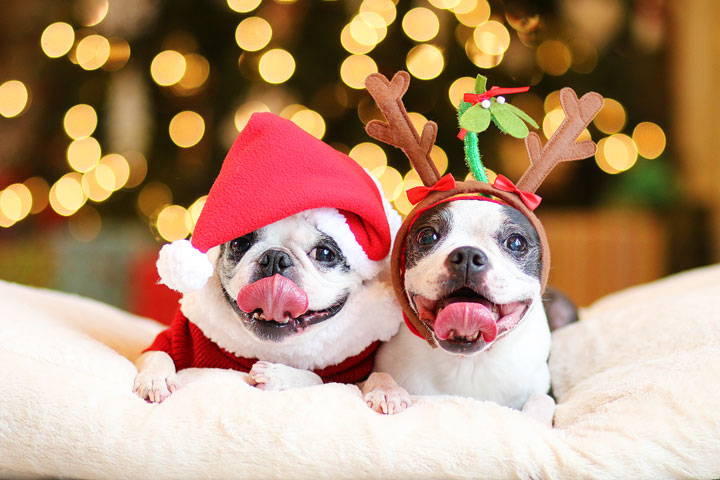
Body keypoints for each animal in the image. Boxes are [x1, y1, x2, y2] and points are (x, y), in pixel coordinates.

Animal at [132, 111, 402, 402]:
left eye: (324, 253)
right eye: (239, 242)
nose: (275, 258)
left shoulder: (350, 375)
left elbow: (323, 377)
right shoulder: (172, 339)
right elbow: (157, 354)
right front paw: (156, 379)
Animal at [362, 199, 556, 424]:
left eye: (516, 243)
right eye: (427, 236)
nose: (468, 255)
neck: (467, 362)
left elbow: (543, 399)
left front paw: (533, 420)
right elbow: (376, 375)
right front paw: (387, 392)